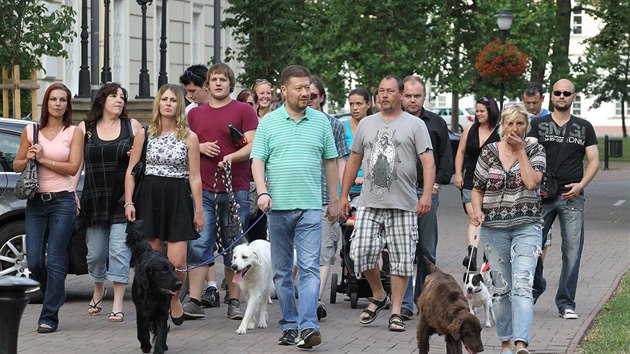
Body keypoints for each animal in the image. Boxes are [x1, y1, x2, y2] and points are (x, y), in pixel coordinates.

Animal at [124, 220, 181, 352]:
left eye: (173, 269)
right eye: (164, 270)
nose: (179, 284)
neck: (152, 293)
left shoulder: (162, 311)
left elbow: (161, 333)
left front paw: (159, 348)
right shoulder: (140, 309)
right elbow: (141, 330)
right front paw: (145, 345)